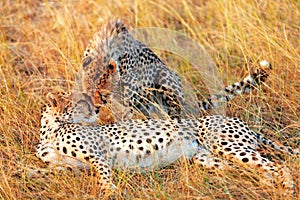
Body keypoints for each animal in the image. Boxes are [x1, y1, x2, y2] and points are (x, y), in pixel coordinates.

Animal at [35, 92, 296, 197]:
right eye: (80, 103)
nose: (98, 109)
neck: (50, 130)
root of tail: (240, 121)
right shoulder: (77, 167)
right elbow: (51, 169)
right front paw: (30, 173)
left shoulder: (97, 157)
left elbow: (104, 177)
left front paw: (110, 192)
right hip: (208, 158)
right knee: (253, 170)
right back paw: (267, 184)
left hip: (226, 145)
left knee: (279, 165)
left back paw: (288, 189)